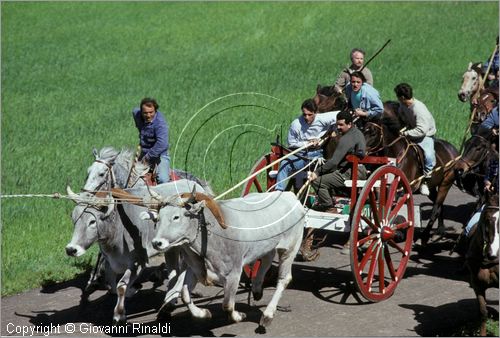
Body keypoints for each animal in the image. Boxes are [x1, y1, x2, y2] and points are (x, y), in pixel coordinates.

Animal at [364, 101, 460, 244]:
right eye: (363, 130)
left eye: (373, 133)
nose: (361, 151)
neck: (396, 154)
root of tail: (454, 150)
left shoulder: (400, 190)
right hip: (432, 188)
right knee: (439, 206)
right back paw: (440, 229)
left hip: (446, 183)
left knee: (436, 208)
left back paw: (425, 236)